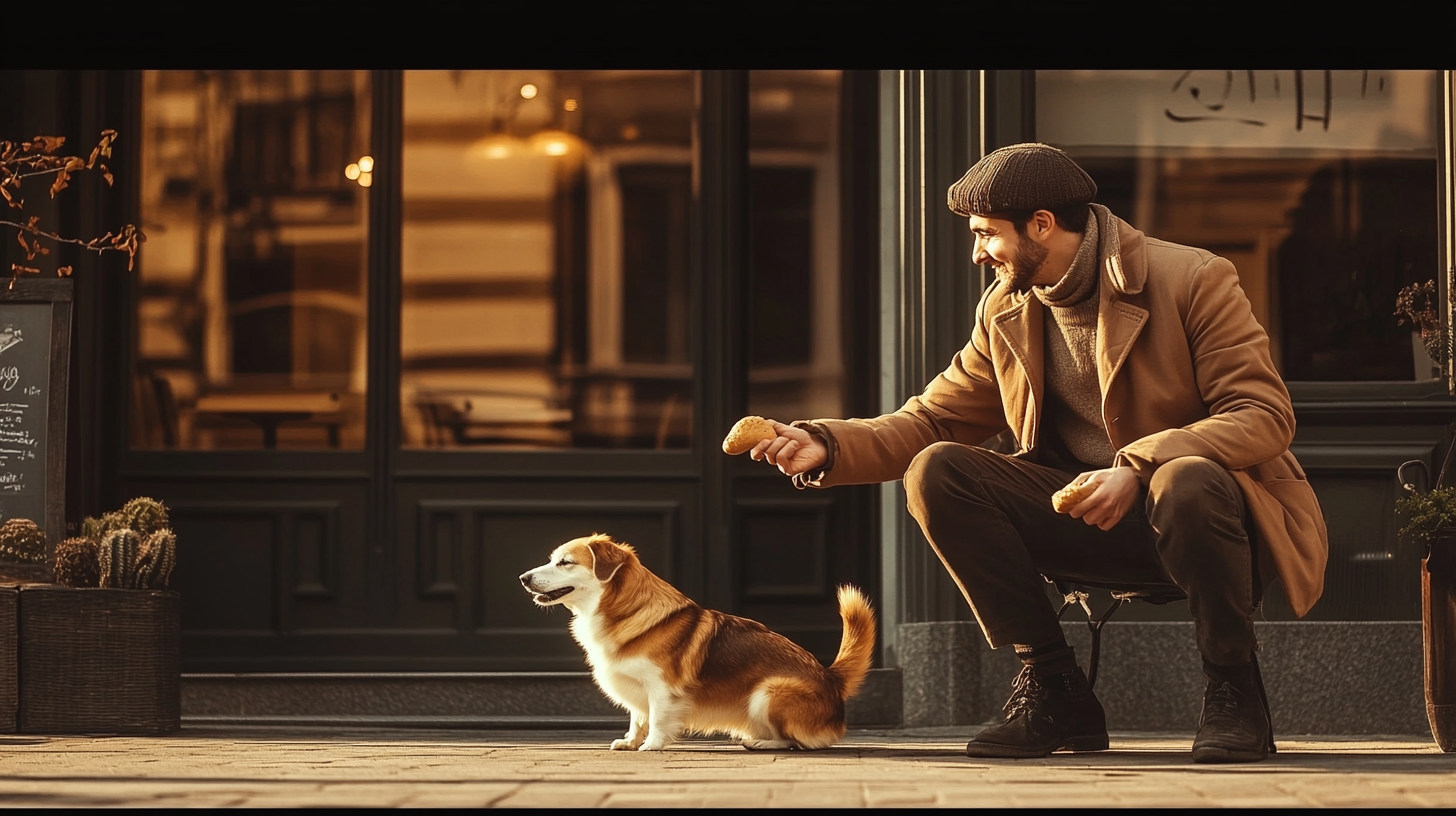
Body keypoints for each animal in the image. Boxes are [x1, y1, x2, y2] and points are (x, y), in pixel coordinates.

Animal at [521, 533, 873, 751]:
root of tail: (831, 678)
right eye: (552, 559)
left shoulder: (661, 687)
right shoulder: (637, 688)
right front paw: (630, 742)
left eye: (565, 562)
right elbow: (637, 717)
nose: (523, 578)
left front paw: (651, 745)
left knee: (798, 741)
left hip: (769, 692)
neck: (621, 610)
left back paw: (761, 742)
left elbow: (657, 716)